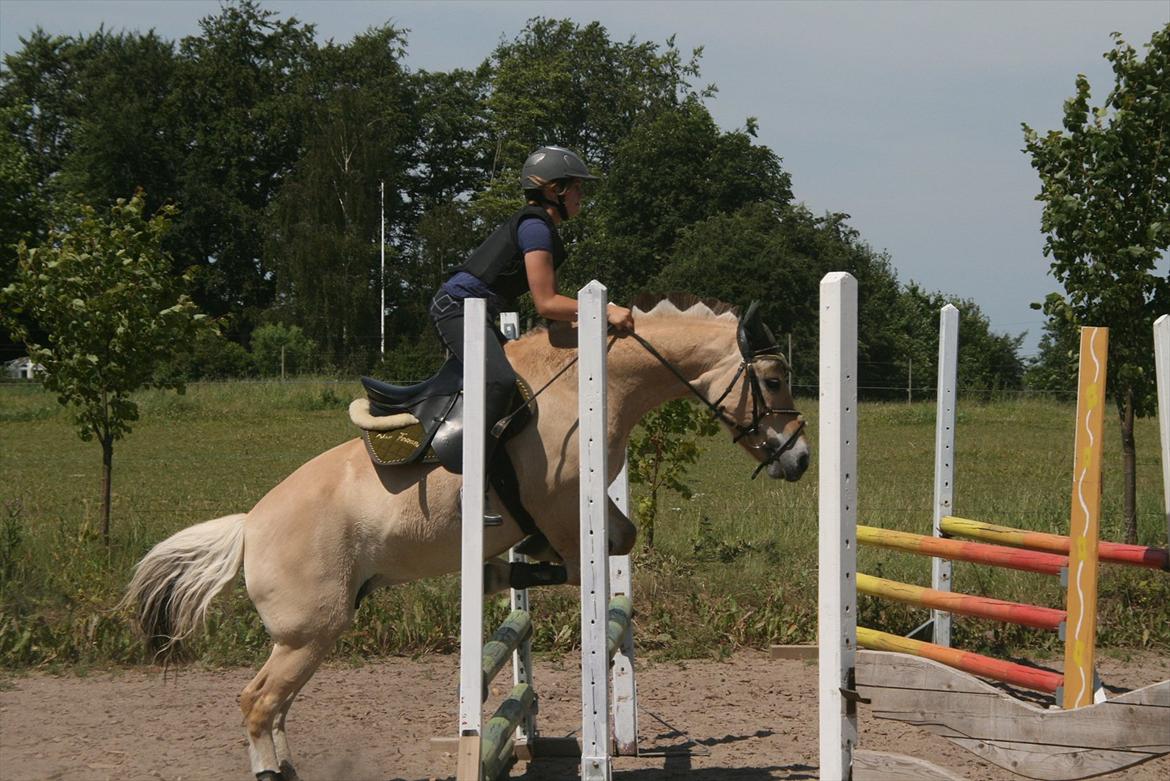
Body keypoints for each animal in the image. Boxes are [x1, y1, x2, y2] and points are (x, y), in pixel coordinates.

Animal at [123, 294, 809, 781]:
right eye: (774, 380)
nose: (800, 459)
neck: (593, 384)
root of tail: (250, 524)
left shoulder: (586, 516)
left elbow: (619, 540)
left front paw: (506, 571)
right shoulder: (562, 510)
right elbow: (581, 561)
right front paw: (511, 570)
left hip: (310, 633)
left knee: (275, 707)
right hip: (310, 631)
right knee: (258, 703)